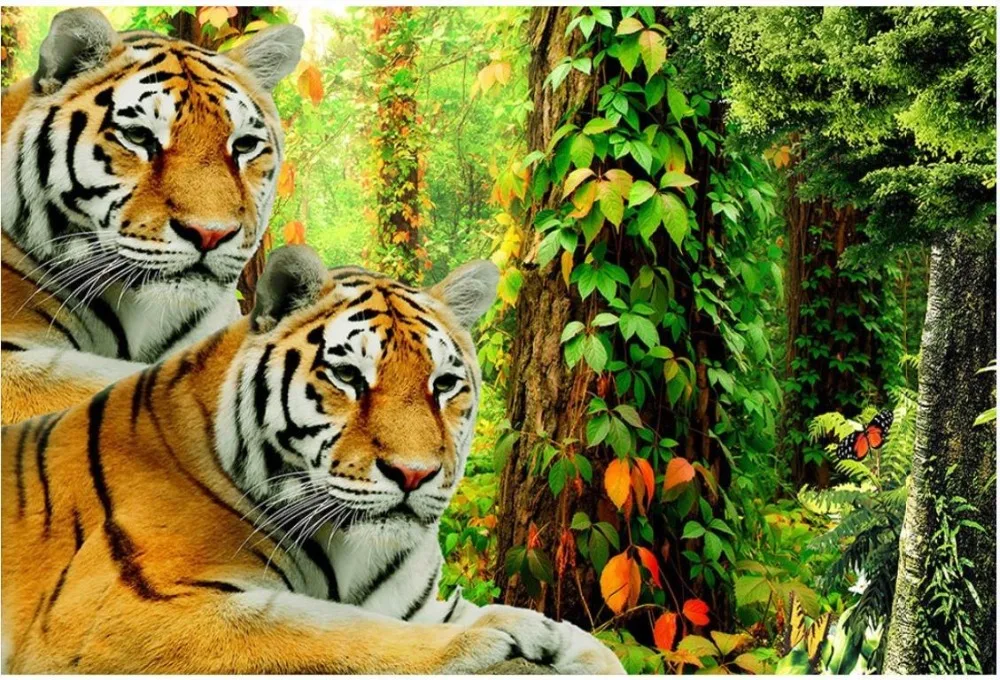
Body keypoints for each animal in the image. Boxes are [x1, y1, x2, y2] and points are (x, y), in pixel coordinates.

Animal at [0, 244, 625, 674]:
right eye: (348, 376)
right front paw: (501, 632)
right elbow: (336, 631)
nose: (414, 474)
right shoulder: (121, 611)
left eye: (445, 384)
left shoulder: (421, 605)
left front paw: (566, 641)